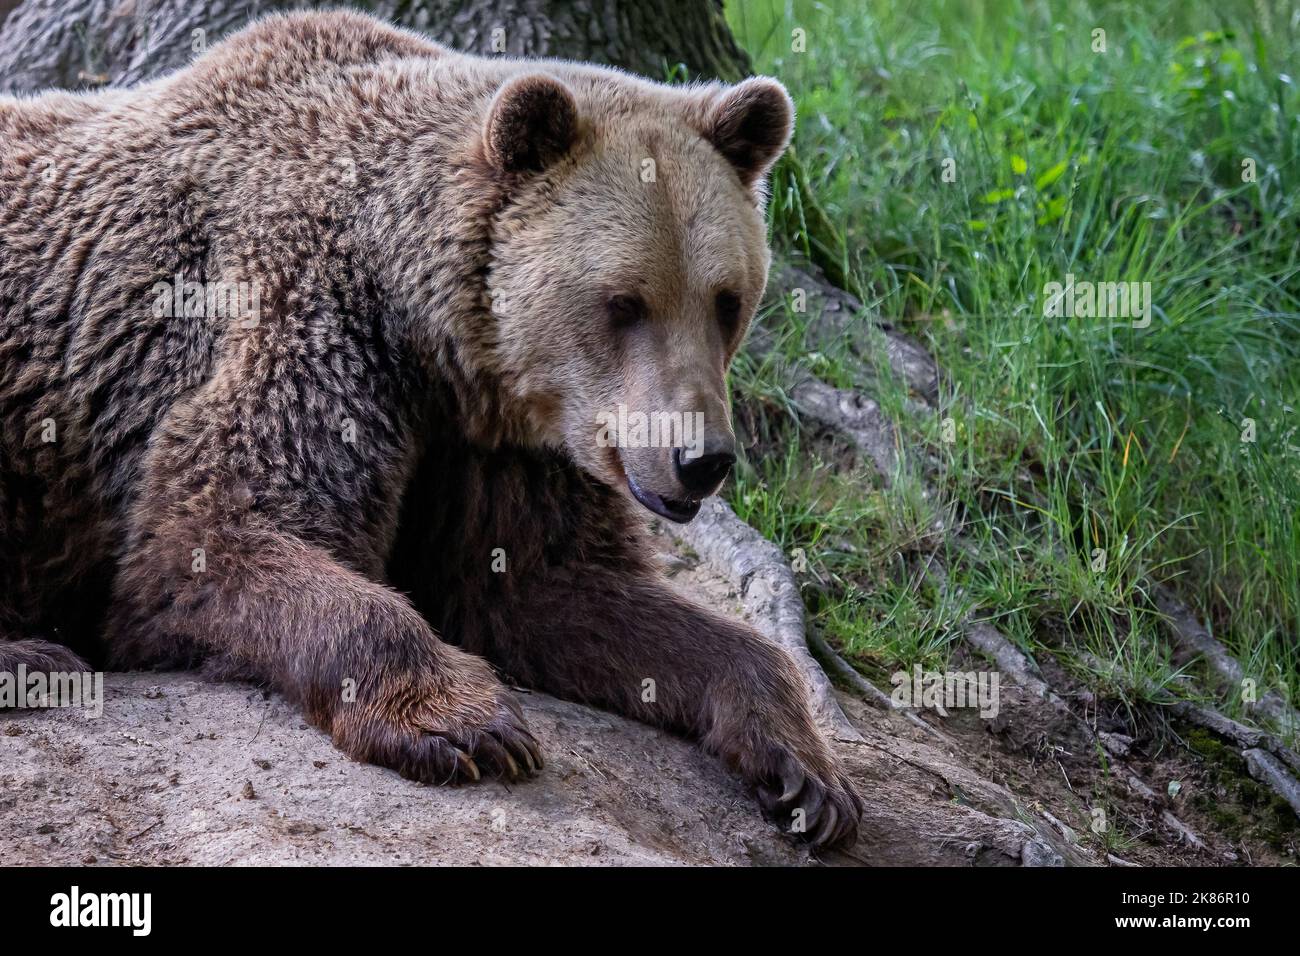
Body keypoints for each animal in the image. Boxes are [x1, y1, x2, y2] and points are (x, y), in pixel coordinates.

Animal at [5, 7, 868, 842]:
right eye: (624, 301)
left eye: (725, 299)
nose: (700, 459)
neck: (425, 333)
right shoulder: (304, 326)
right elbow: (207, 542)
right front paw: (467, 723)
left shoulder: (501, 444)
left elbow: (548, 587)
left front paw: (806, 774)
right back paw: (34, 655)